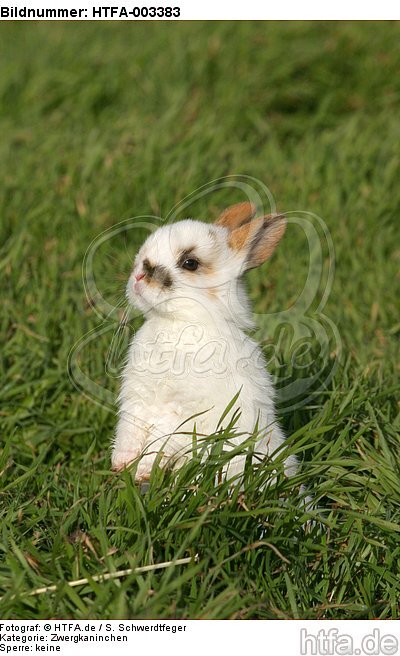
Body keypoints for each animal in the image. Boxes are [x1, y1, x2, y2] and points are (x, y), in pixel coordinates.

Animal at [112, 201, 298, 484]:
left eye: (190, 263)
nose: (139, 276)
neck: (179, 322)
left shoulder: (184, 413)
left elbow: (161, 440)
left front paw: (143, 472)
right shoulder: (136, 397)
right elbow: (129, 430)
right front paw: (121, 464)